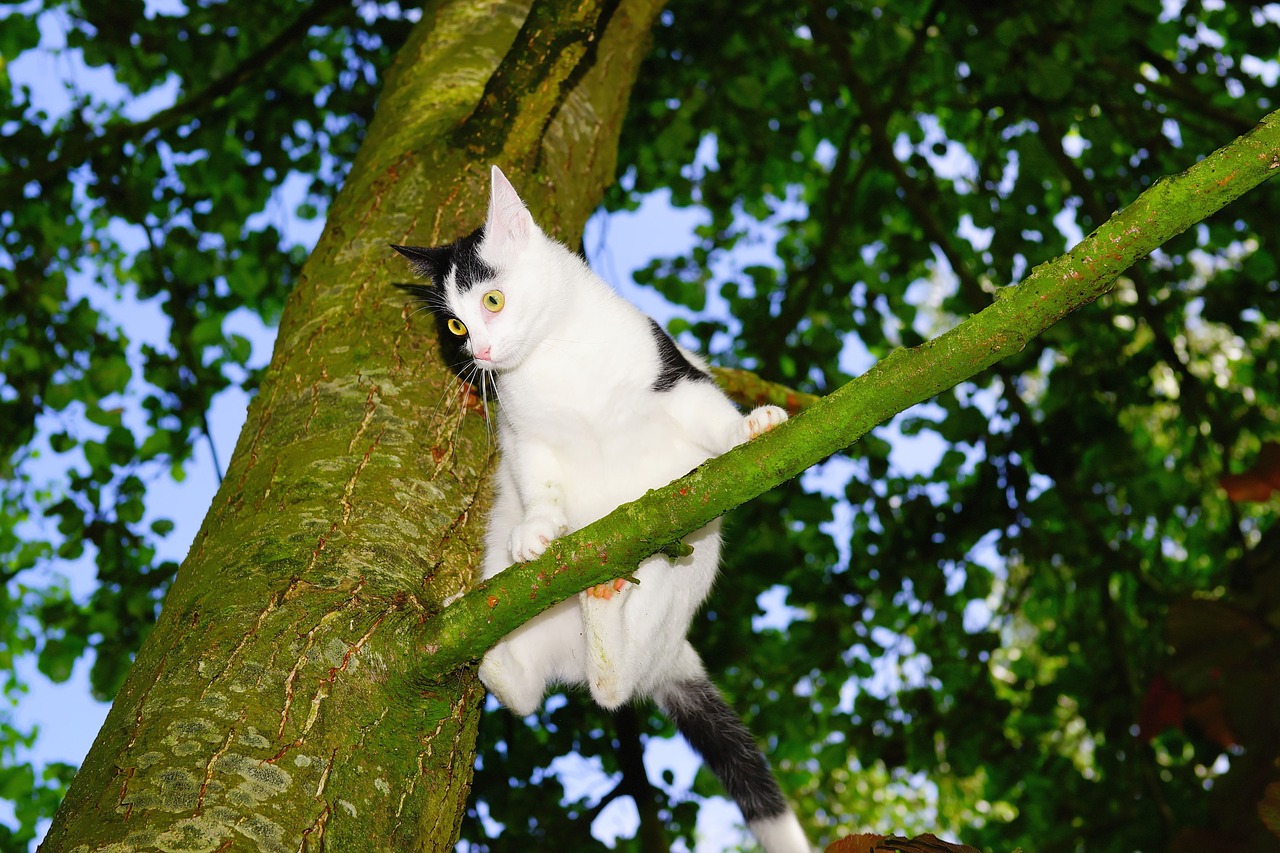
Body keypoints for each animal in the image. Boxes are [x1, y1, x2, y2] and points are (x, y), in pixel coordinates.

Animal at [389, 166, 808, 850]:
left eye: (492, 302)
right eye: (453, 327)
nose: (479, 353)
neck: (553, 360)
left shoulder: (675, 377)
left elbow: (710, 413)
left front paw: (749, 428)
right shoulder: (523, 438)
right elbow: (539, 484)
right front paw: (538, 530)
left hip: (674, 580)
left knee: (616, 690)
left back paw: (607, 616)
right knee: (538, 693)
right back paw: (499, 646)